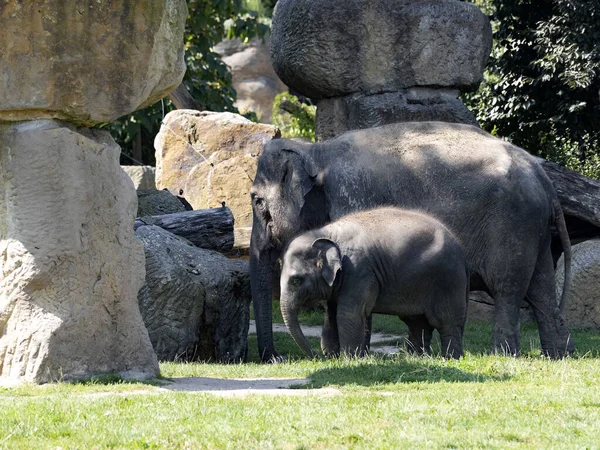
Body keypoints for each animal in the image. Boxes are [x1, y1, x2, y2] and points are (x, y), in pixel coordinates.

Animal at [278, 207, 472, 358]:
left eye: (296, 280)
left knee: (446, 322)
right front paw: (335, 356)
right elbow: (332, 314)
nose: (317, 357)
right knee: (418, 323)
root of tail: (463, 252)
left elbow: (349, 313)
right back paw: (417, 358)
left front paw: (349, 359)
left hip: (448, 280)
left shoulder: (359, 270)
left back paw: (449, 359)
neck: (327, 233)